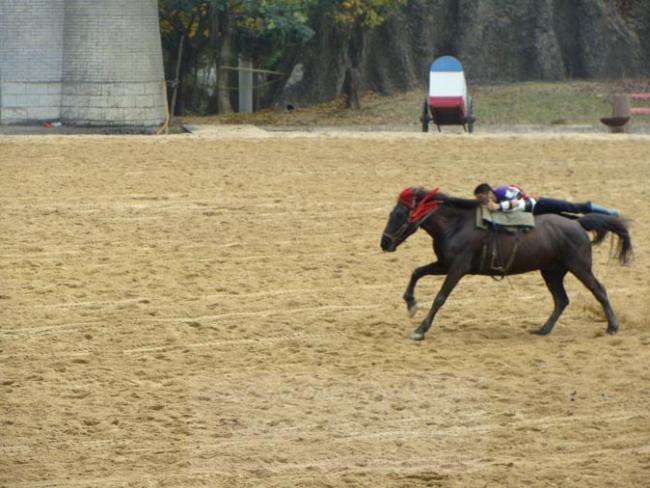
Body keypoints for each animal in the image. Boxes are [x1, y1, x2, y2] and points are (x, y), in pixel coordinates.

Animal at [380, 187, 632, 341]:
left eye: (399, 214)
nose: (384, 243)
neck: (456, 224)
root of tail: (578, 224)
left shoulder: (457, 268)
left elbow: (440, 297)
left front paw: (420, 330)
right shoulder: (444, 263)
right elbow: (416, 272)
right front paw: (411, 304)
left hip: (579, 266)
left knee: (598, 290)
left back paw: (612, 327)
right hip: (551, 272)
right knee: (561, 300)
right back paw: (543, 329)